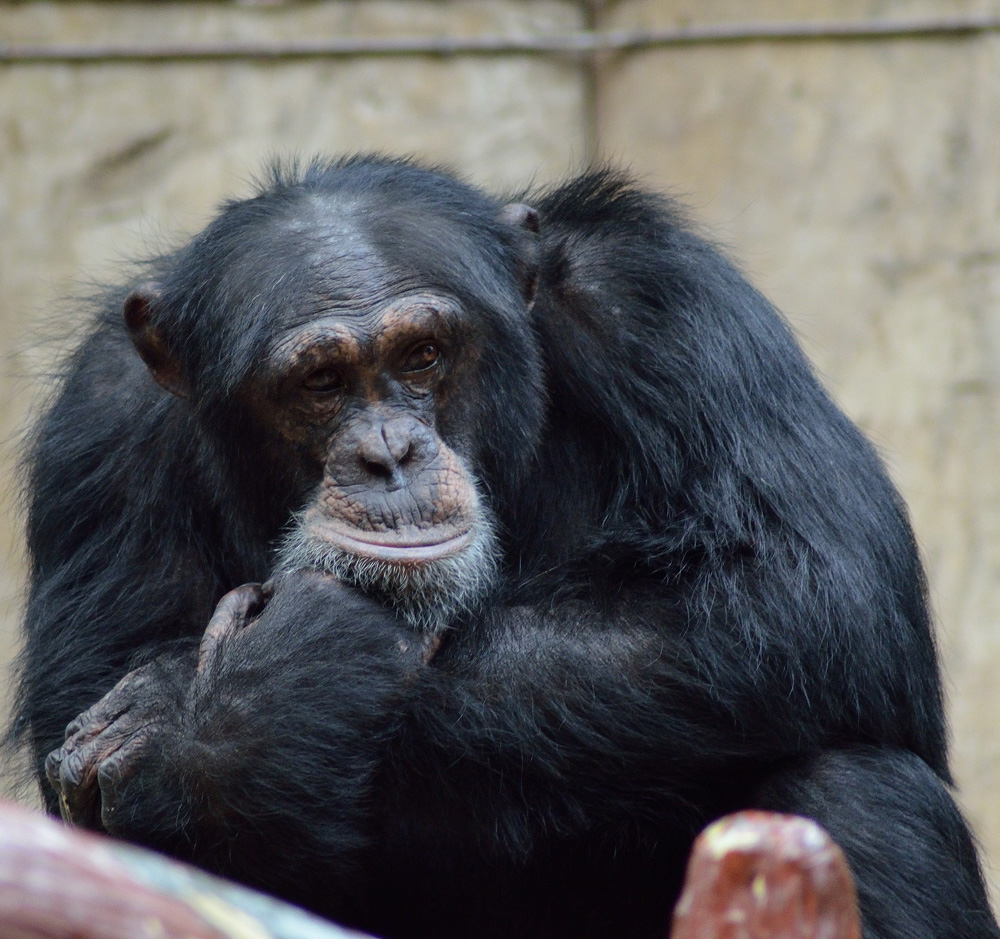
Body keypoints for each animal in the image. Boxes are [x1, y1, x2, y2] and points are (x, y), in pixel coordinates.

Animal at [15, 156, 1000, 939]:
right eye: (320, 381)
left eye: (422, 354)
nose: (388, 455)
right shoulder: (101, 423)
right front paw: (244, 716)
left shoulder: (664, 300)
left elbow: (811, 580)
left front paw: (230, 701)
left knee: (857, 788)